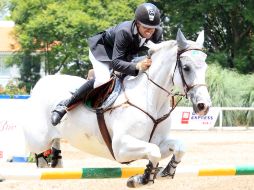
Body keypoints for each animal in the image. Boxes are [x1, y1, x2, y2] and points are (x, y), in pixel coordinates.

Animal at [21, 29, 211, 188]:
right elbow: (154, 152)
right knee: (37, 154)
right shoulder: (121, 148)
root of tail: (40, 84)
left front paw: (165, 171)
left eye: (206, 67)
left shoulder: (158, 142)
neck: (151, 99)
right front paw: (141, 179)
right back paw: (57, 114)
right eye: (186, 68)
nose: (203, 106)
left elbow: (178, 147)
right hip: (38, 141)